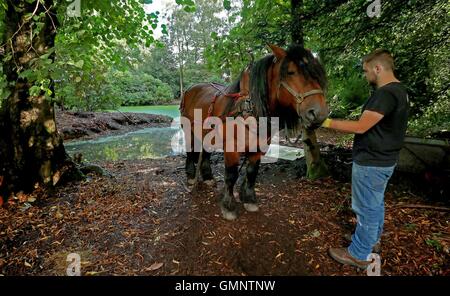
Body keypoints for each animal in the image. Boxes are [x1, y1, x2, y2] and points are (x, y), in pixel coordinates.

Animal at [180, 44, 330, 220]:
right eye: (291, 72)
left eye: (317, 73)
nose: (319, 113)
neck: (249, 108)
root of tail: (190, 89)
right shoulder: (231, 148)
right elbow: (231, 175)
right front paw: (228, 206)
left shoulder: (259, 147)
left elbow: (252, 172)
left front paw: (249, 199)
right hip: (189, 130)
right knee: (190, 151)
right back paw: (191, 177)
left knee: (206, 152)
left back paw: (208, 177)